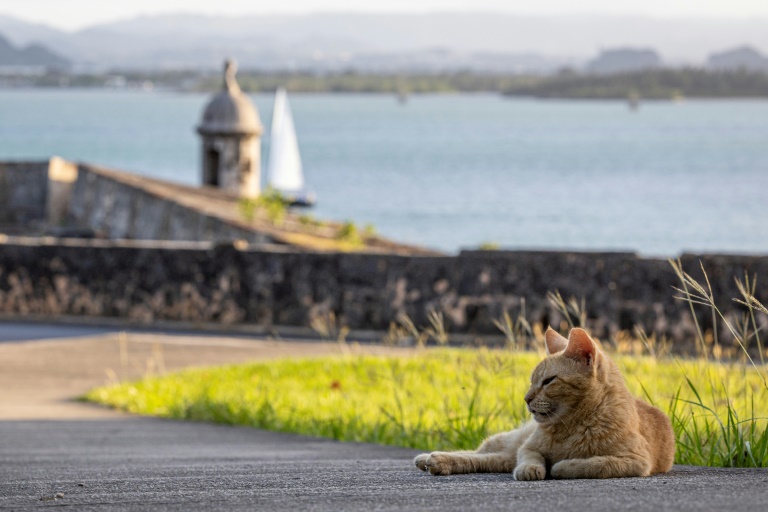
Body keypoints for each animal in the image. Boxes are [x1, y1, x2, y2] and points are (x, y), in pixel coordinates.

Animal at [414, 328, 672, 480]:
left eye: (548, 381)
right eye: (532, 381)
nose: (526, 398)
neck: (573, 425)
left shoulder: (635, 461)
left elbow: (592, 464)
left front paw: (562, 466)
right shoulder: (528, 448)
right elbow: (531, 457)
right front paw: (531, 469)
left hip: (505, 457)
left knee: (485, 459)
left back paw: (435, 462)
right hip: (510, 442)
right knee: (480, 453)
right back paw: (428, 458)